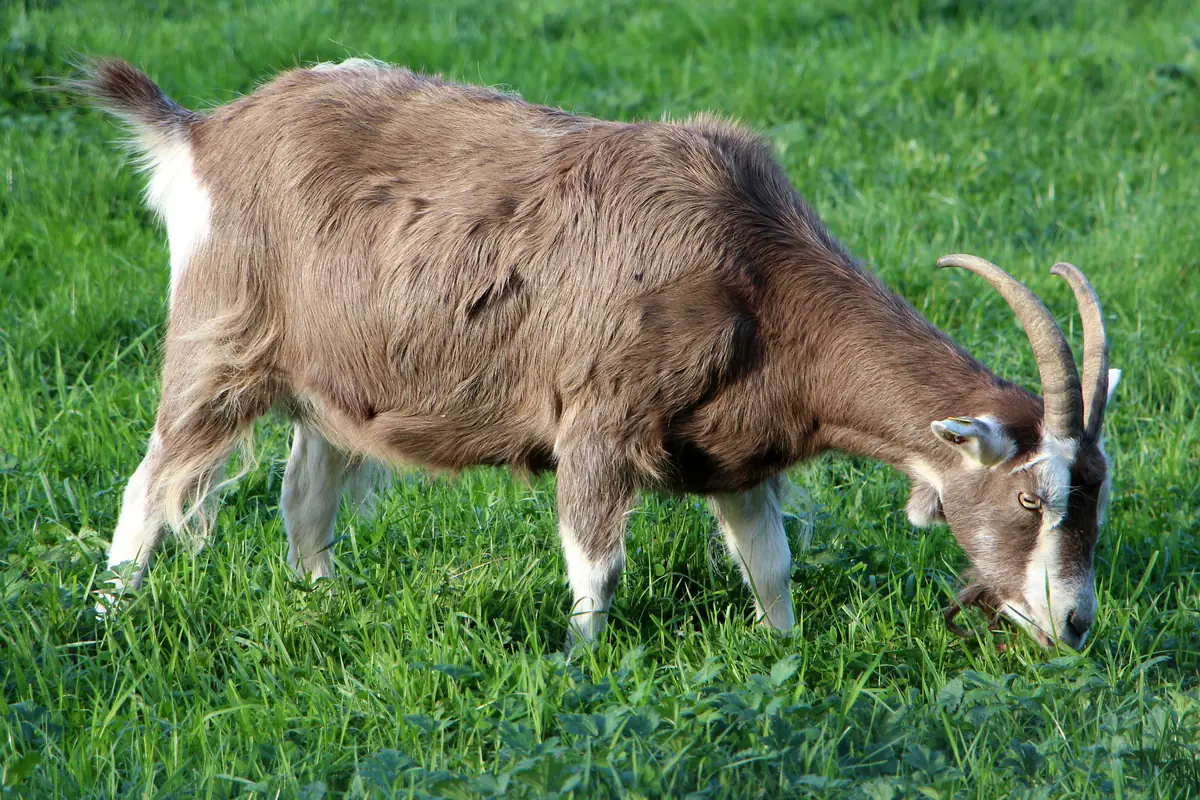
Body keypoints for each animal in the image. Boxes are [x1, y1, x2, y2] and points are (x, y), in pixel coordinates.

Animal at [78, 57, 1119, 649]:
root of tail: (202, 134)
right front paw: (581, 668)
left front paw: (781, 657)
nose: (1075, 624)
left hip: (334, 379)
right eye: (1034, 497)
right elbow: (597, 569)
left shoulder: (735, 447)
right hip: (218, 345)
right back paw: (105, 619)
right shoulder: (599, 423)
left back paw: (323, 606)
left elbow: (771, 564)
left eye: (1099, 493)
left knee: (305, 495)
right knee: (149, 481)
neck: (754, 264)